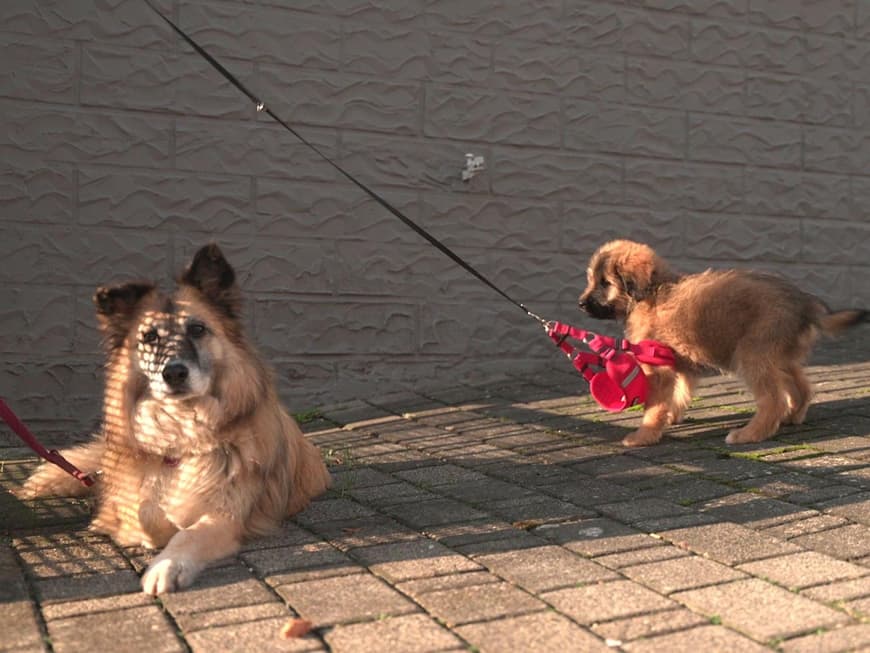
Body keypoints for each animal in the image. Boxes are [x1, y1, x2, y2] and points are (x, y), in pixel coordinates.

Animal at [21, 242, 334, 592]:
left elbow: (190, 533)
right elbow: (146, 515)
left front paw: (166, 565)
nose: (173, 374)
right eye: (149, 337)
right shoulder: (130, 498)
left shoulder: (227, 514)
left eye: (197, 329)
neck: (182, 428)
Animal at [580, 239, 864, 448]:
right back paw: (791, 418)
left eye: (605, 283)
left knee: (773, 400)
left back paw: (750, 433)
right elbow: (679, 393)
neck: (651, 291)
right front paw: (670, 417)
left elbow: (655, 403)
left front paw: (644, 434)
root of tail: (804, 302)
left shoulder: (658, 367)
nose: (581, 304)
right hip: (780, 355)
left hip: (752, 354)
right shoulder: (680, 364)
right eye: (592, 280)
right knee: (801, 388)